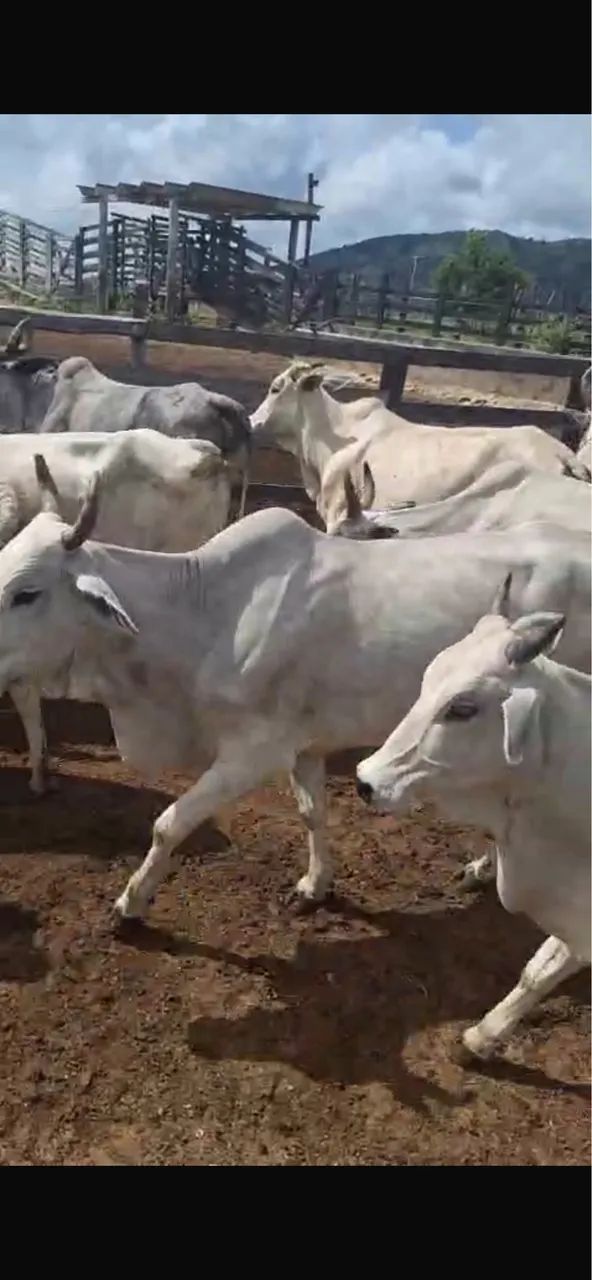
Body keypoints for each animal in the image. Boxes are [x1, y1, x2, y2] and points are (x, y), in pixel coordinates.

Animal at [0, 471, 588, 922]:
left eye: (27, 593)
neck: (208, 613)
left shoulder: (252, 753)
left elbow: (170, 823)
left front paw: (131, 903)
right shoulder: (303, 746)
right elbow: (313, 814)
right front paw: (315, 885)